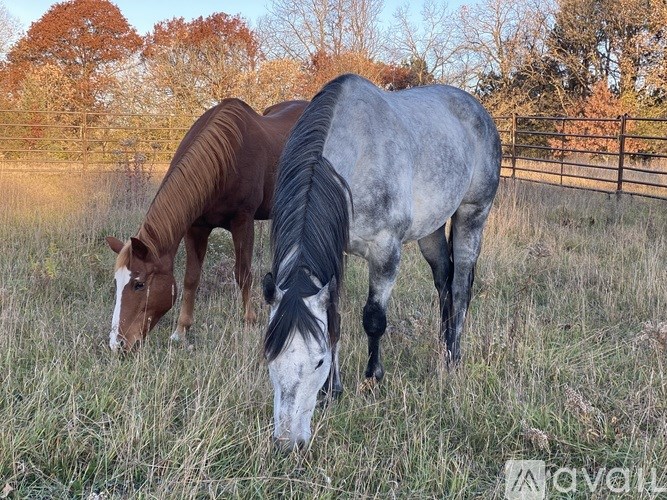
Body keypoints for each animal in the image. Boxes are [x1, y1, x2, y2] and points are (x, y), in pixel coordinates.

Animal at [106, 98, 308, 352]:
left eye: (139, 284)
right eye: (116, 282)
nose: (117, 344)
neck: (226, 159)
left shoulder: (243, 221)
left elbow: (243, 273)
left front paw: (249, 321)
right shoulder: (195, 228)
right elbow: (191, 278)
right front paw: (181, 331)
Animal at [261, 74, 501, 450]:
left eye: (317, 361)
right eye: (270, 356)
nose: (288, 442)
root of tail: (478, 109)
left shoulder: (386, 251)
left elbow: (373, 319)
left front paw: (372, 379)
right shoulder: (336, 254)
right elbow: (334, 320)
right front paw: (332, 391)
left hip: (473, 214)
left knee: (461, 287)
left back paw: (452, 358)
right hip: (431, 229)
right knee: (444, 282)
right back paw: (441, 344)